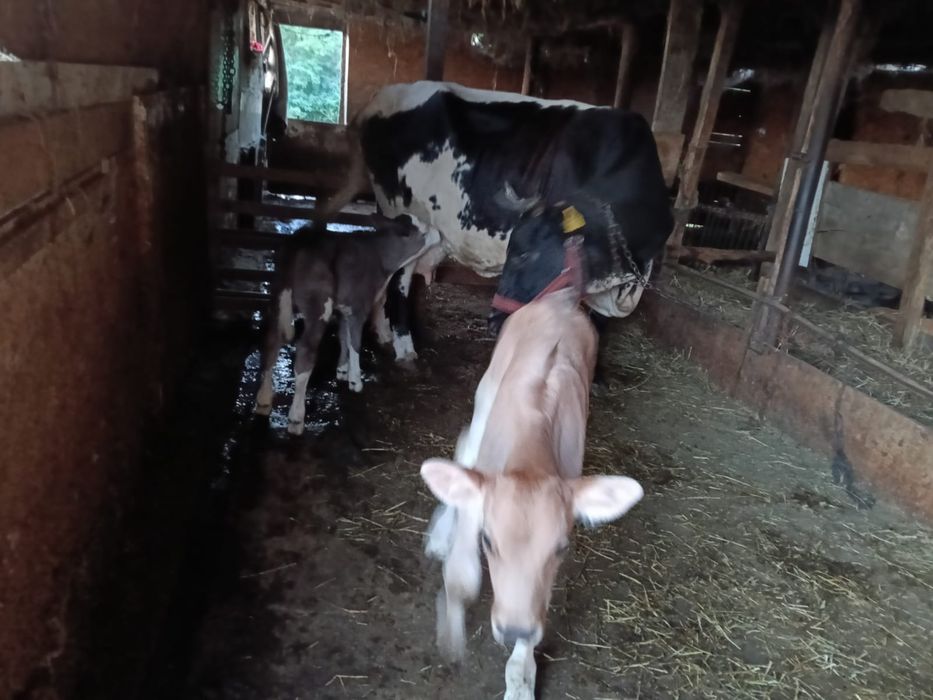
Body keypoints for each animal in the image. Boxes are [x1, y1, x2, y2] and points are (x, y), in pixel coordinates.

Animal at [254, 216, 439, 435]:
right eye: (424, 232)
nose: (439, 232)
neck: (381, 258)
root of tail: (299, 241)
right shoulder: (359, 305)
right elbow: (355, 342)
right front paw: (355, 380)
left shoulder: (344, 307)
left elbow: (344, 336)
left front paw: (342, 369)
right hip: (318, 304)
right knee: (305, 351)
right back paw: (296, 417)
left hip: (277, 292)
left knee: (271, 341)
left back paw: (263, 399)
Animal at [315, 80, 673, 371]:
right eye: (515, 251)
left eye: (528, 256)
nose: (495, 322)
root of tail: (384, 96)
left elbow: (598, 325)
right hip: (404, 213)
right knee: (398, 283)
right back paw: (404, 348)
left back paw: (384, 335)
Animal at [419, 287, 644, 698]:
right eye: (488, 542)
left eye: (561, 548)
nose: (512, 630)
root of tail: (563, 298)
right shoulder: (482, 495)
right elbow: (462, 576)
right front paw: (452, 631)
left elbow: (536, 608)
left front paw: (521, 677)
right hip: (486, 395)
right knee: (464, 448)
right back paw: (441, 534)